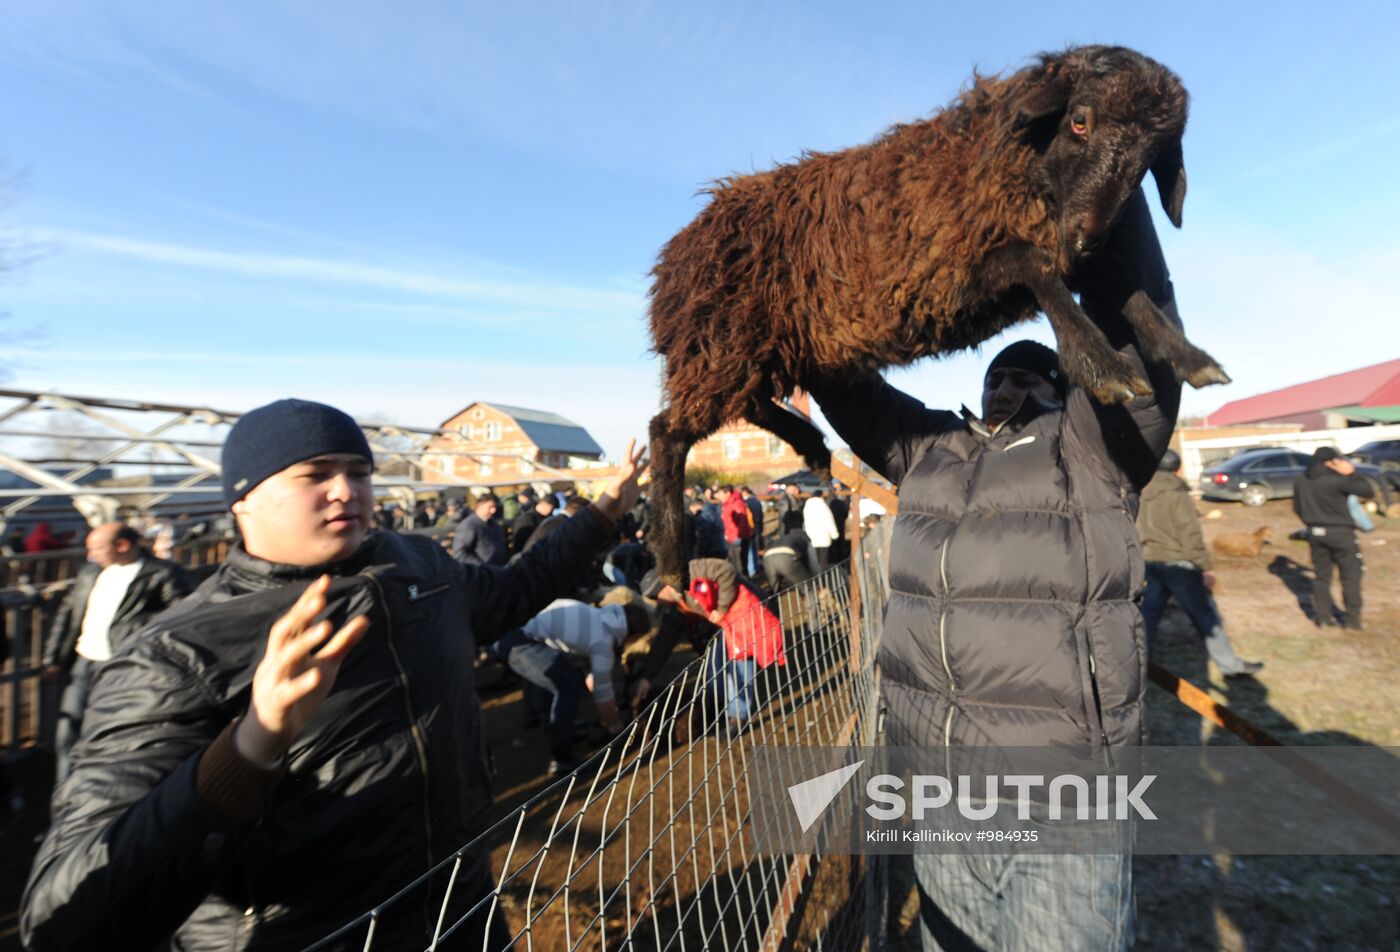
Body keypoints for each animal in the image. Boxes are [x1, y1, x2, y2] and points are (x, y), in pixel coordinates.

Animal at [644, 44, 1226, 585]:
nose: (1087, 236)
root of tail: (672, 261)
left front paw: (1187, 357)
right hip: (721, 341)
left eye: (1153, 154)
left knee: (751, 402)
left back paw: (808, 443)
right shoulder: (957, 270)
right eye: (1080, 121)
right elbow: (1038, 266)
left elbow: (1130, 292)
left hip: (759, 348)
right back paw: (671, 562)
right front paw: (1102, 365)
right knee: (669, 430)